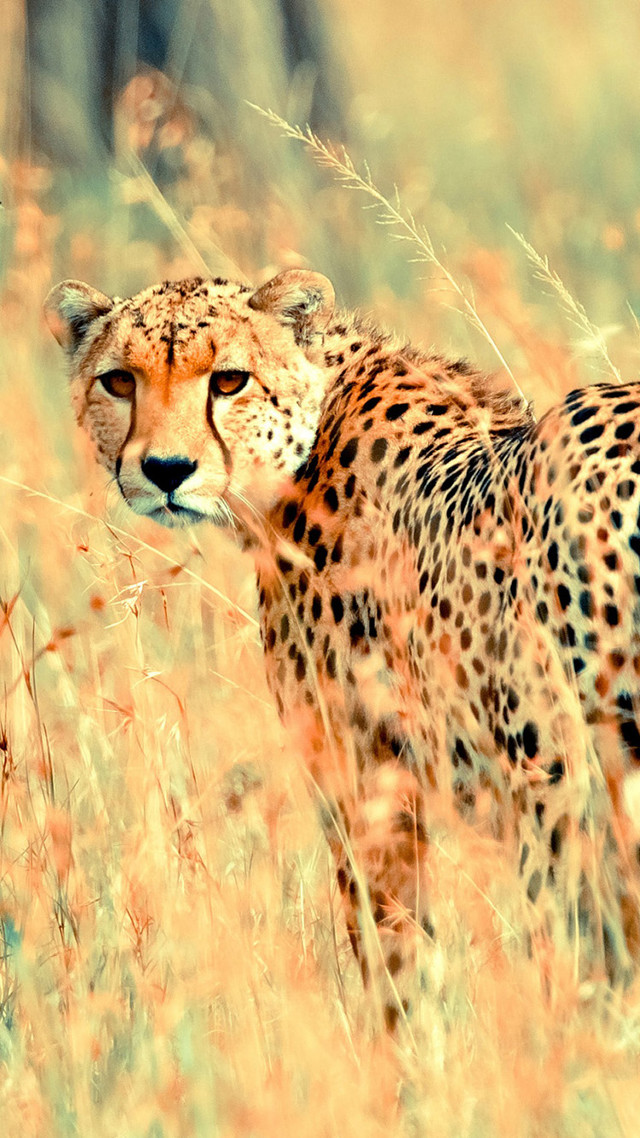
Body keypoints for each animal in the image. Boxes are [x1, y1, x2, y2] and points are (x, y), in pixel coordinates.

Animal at [45, 268, 640, 1029]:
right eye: (119, 381)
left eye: (229, 380)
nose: (167, 469)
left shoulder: (366, 781)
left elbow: (396, 964)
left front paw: (408, 1056)